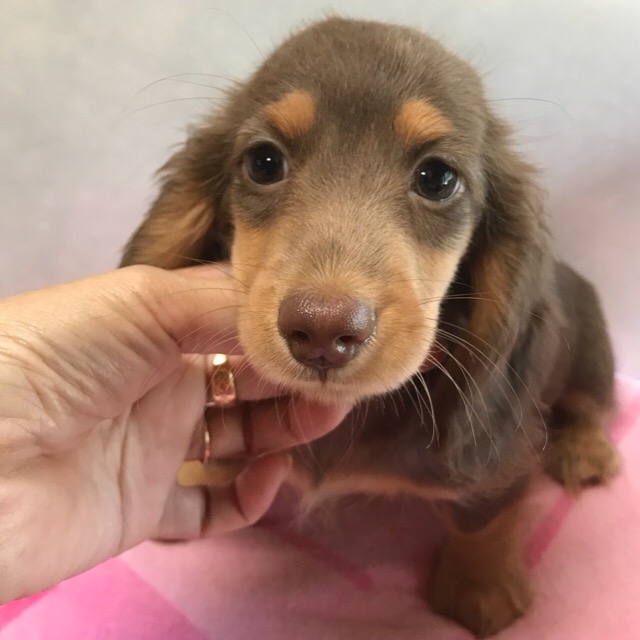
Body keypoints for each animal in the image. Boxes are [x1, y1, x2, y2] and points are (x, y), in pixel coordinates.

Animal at [121, 17, 620, 637]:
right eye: (264, 162)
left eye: (437, 178)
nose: (321, 334)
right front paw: (189, 477)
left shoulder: (503, 457)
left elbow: (483, 521)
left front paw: (480, 587)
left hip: (592, 350)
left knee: (590, 403)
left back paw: (585, 451)